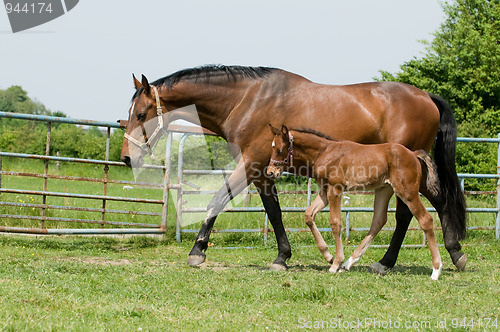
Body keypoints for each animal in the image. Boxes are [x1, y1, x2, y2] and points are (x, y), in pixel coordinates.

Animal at [268, 124, 444, 280]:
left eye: (280, 150)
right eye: (272, 148)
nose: (270, 172)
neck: (324, 152)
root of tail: (413, 154)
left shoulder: (335, 189)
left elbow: (335, 223)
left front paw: (335, 263)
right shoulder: (324, 191)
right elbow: (308, 214)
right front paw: (329, 256)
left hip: (407, 193)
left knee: (425, 219)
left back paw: (436, 270)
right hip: (384, 190)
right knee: (378, 221)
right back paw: (348, 263)